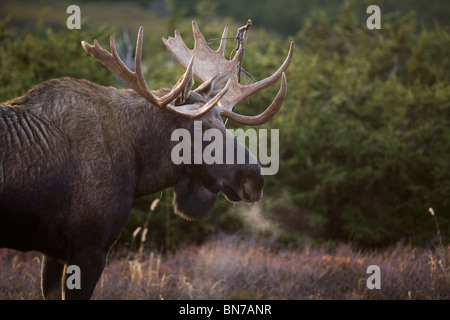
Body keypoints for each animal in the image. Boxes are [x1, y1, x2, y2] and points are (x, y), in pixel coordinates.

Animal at [0, 21, 294, 298]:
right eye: (200, 127)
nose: (255, 180)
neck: (138, 168)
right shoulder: (90, 246)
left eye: (223, 124)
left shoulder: (54, 252)